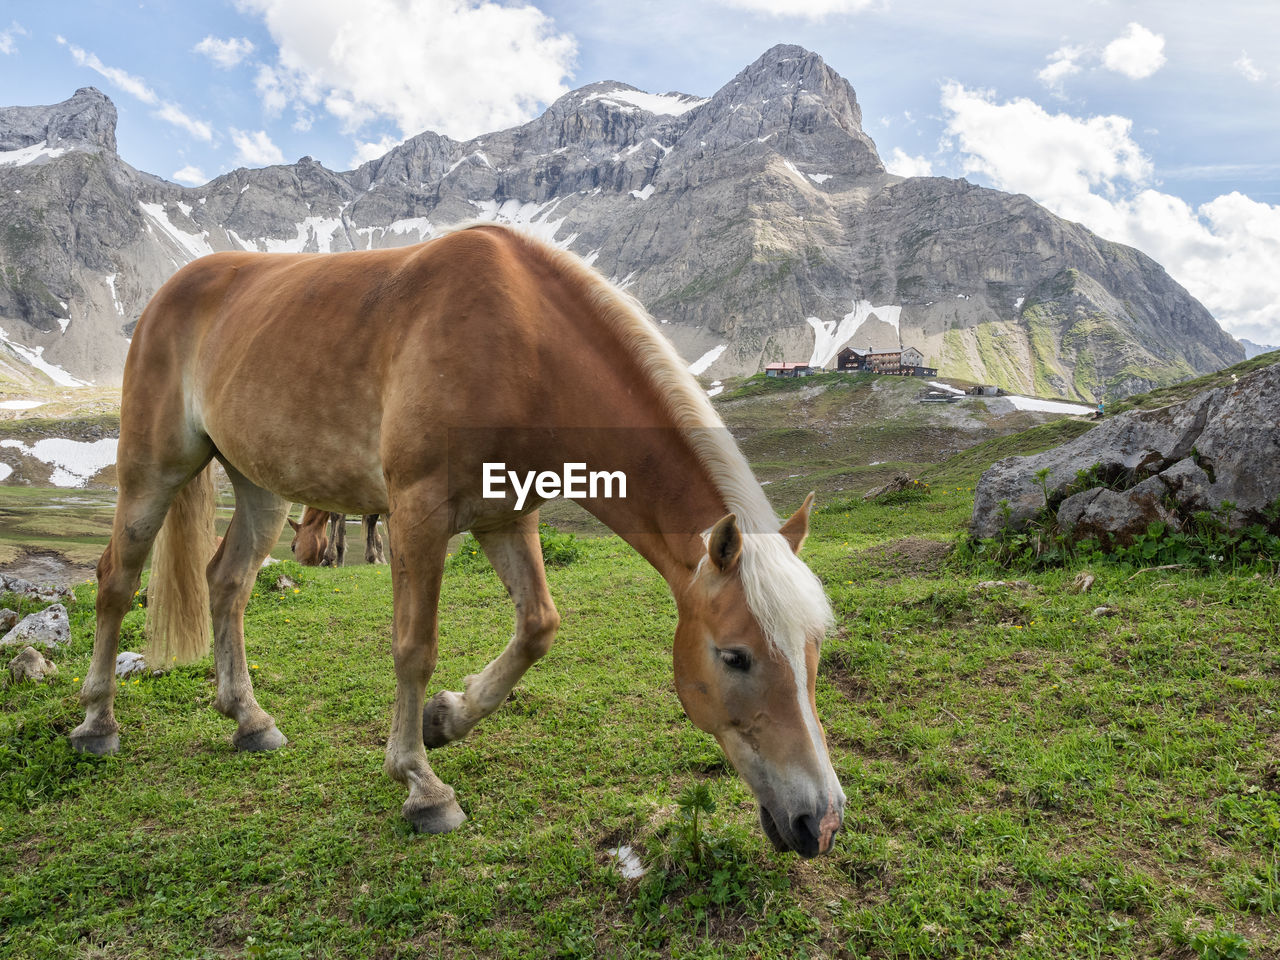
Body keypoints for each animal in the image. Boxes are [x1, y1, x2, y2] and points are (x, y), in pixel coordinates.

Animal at [74, 224, 844, 855]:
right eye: (735, 656)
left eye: (813, 651)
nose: (821, 822)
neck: (523, 342)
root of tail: (172, 292)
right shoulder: (417, 513)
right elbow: (414, 647)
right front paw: (421, 783)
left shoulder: (507, 517)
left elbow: (538, 626)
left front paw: (448, 717)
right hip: (152, 470)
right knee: (116, 579)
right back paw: (97, 725)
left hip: (261, 486)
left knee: (227, 583)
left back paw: (249, 720)